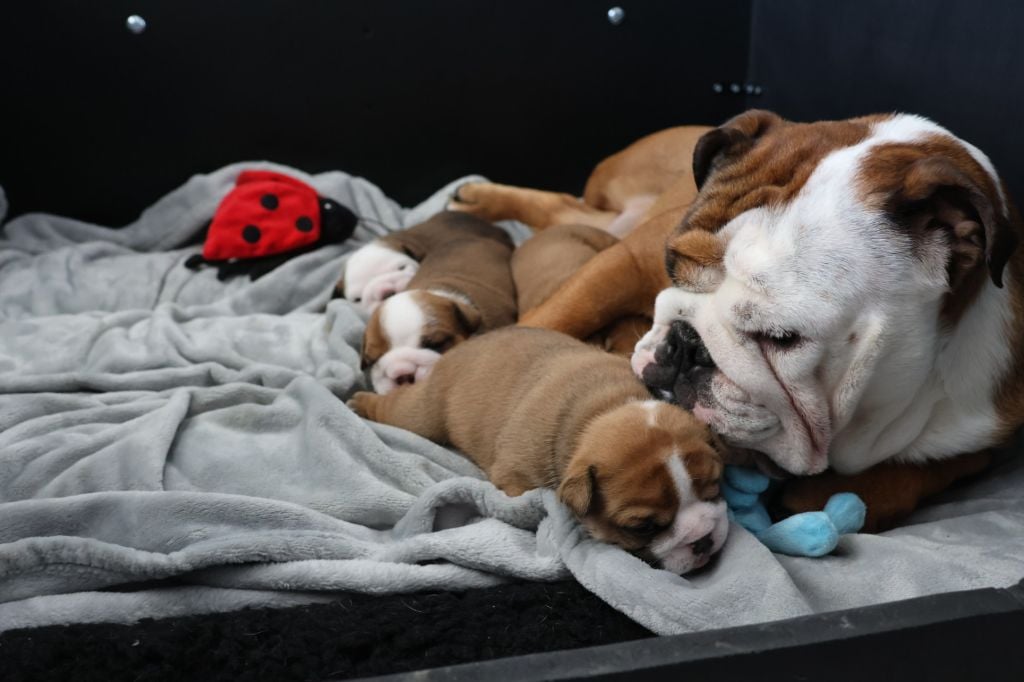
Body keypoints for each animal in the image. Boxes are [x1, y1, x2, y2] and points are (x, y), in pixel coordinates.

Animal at [348, 326, 727, 574]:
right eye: (643, 527)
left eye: (715, 487)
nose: (702, 540)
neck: (605, 408)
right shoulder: (517, 480)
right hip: (425, 413)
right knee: (400, 410)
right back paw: (361, 402)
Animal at [449, 111, 1024, 531]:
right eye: (672, 267)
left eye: (782, 338)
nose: (684, 345)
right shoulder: (630, 261)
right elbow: (556, 316)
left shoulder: (976, 443)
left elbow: (909, 476)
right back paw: (477, 195)